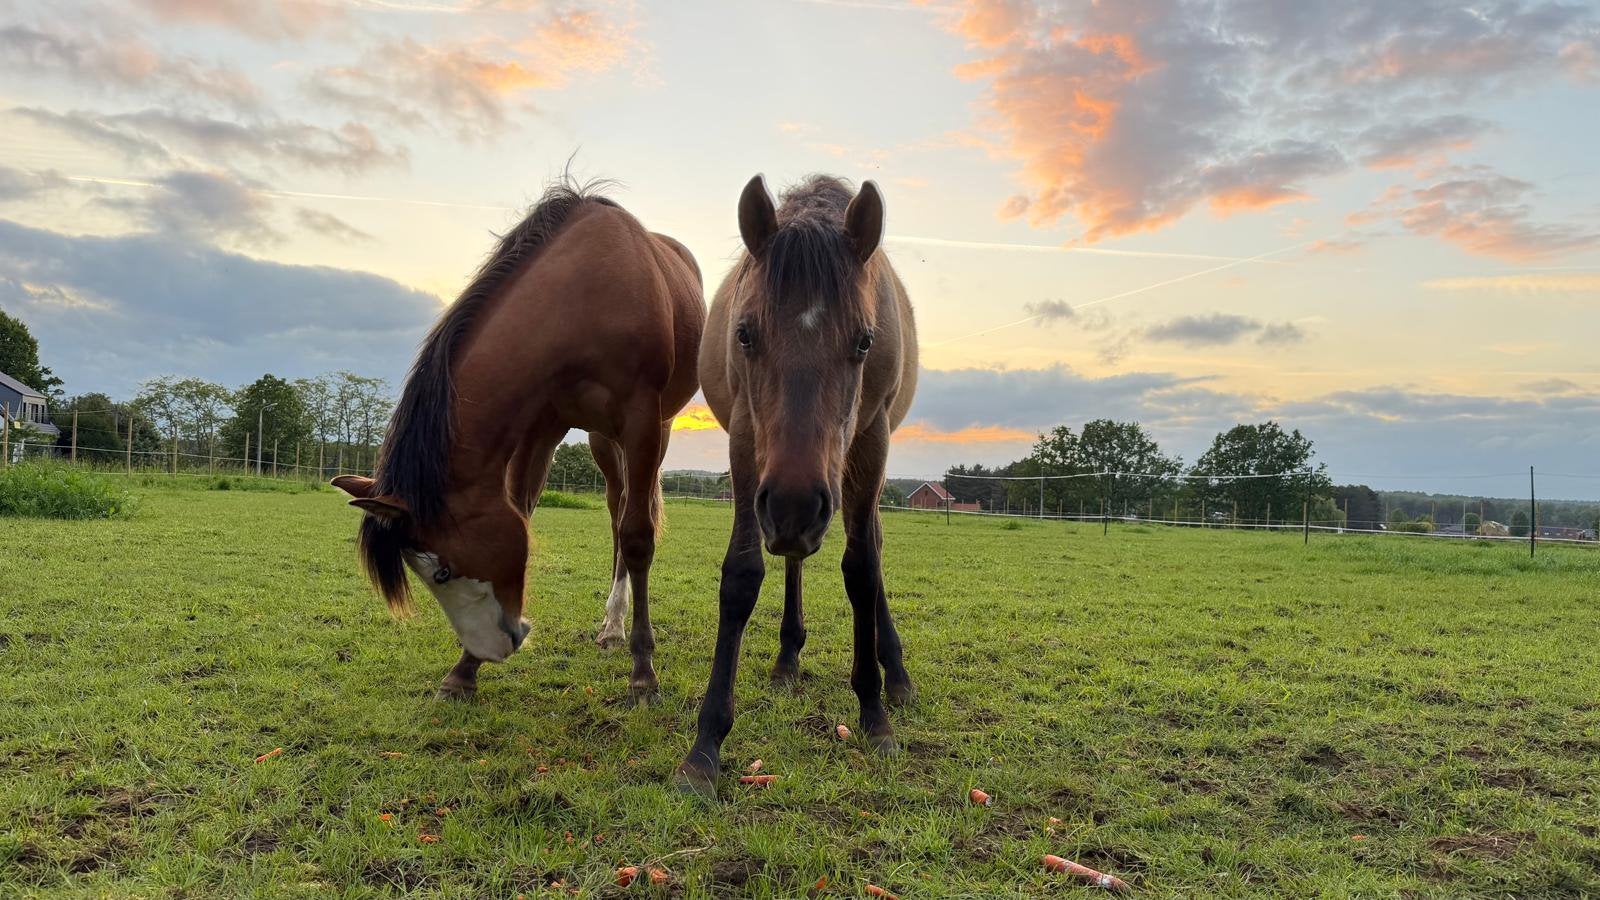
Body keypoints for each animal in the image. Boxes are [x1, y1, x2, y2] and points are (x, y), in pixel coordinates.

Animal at [332, 179, 704, 705]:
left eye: (442, 571)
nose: (495, 648)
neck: (584, 297)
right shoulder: (539, 427)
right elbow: (522, 511)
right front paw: (462, 672)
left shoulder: (641, 420)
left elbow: (638, 537)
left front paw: (644, 673)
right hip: (600, 439)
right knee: (615, 512)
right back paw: (611, 626)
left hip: (656, 429)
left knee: (630, 520)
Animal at [675, 174, 918, 798]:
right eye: (744, 334)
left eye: (864, 341)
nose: (794, 506)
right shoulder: (746, 441)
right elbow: (742, 576)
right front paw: (705, 745)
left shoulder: (870, 441)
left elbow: (863, 571)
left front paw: (874, 714)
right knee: (791, 558)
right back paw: (788, 657)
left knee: (870, 547)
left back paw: (897, 675)